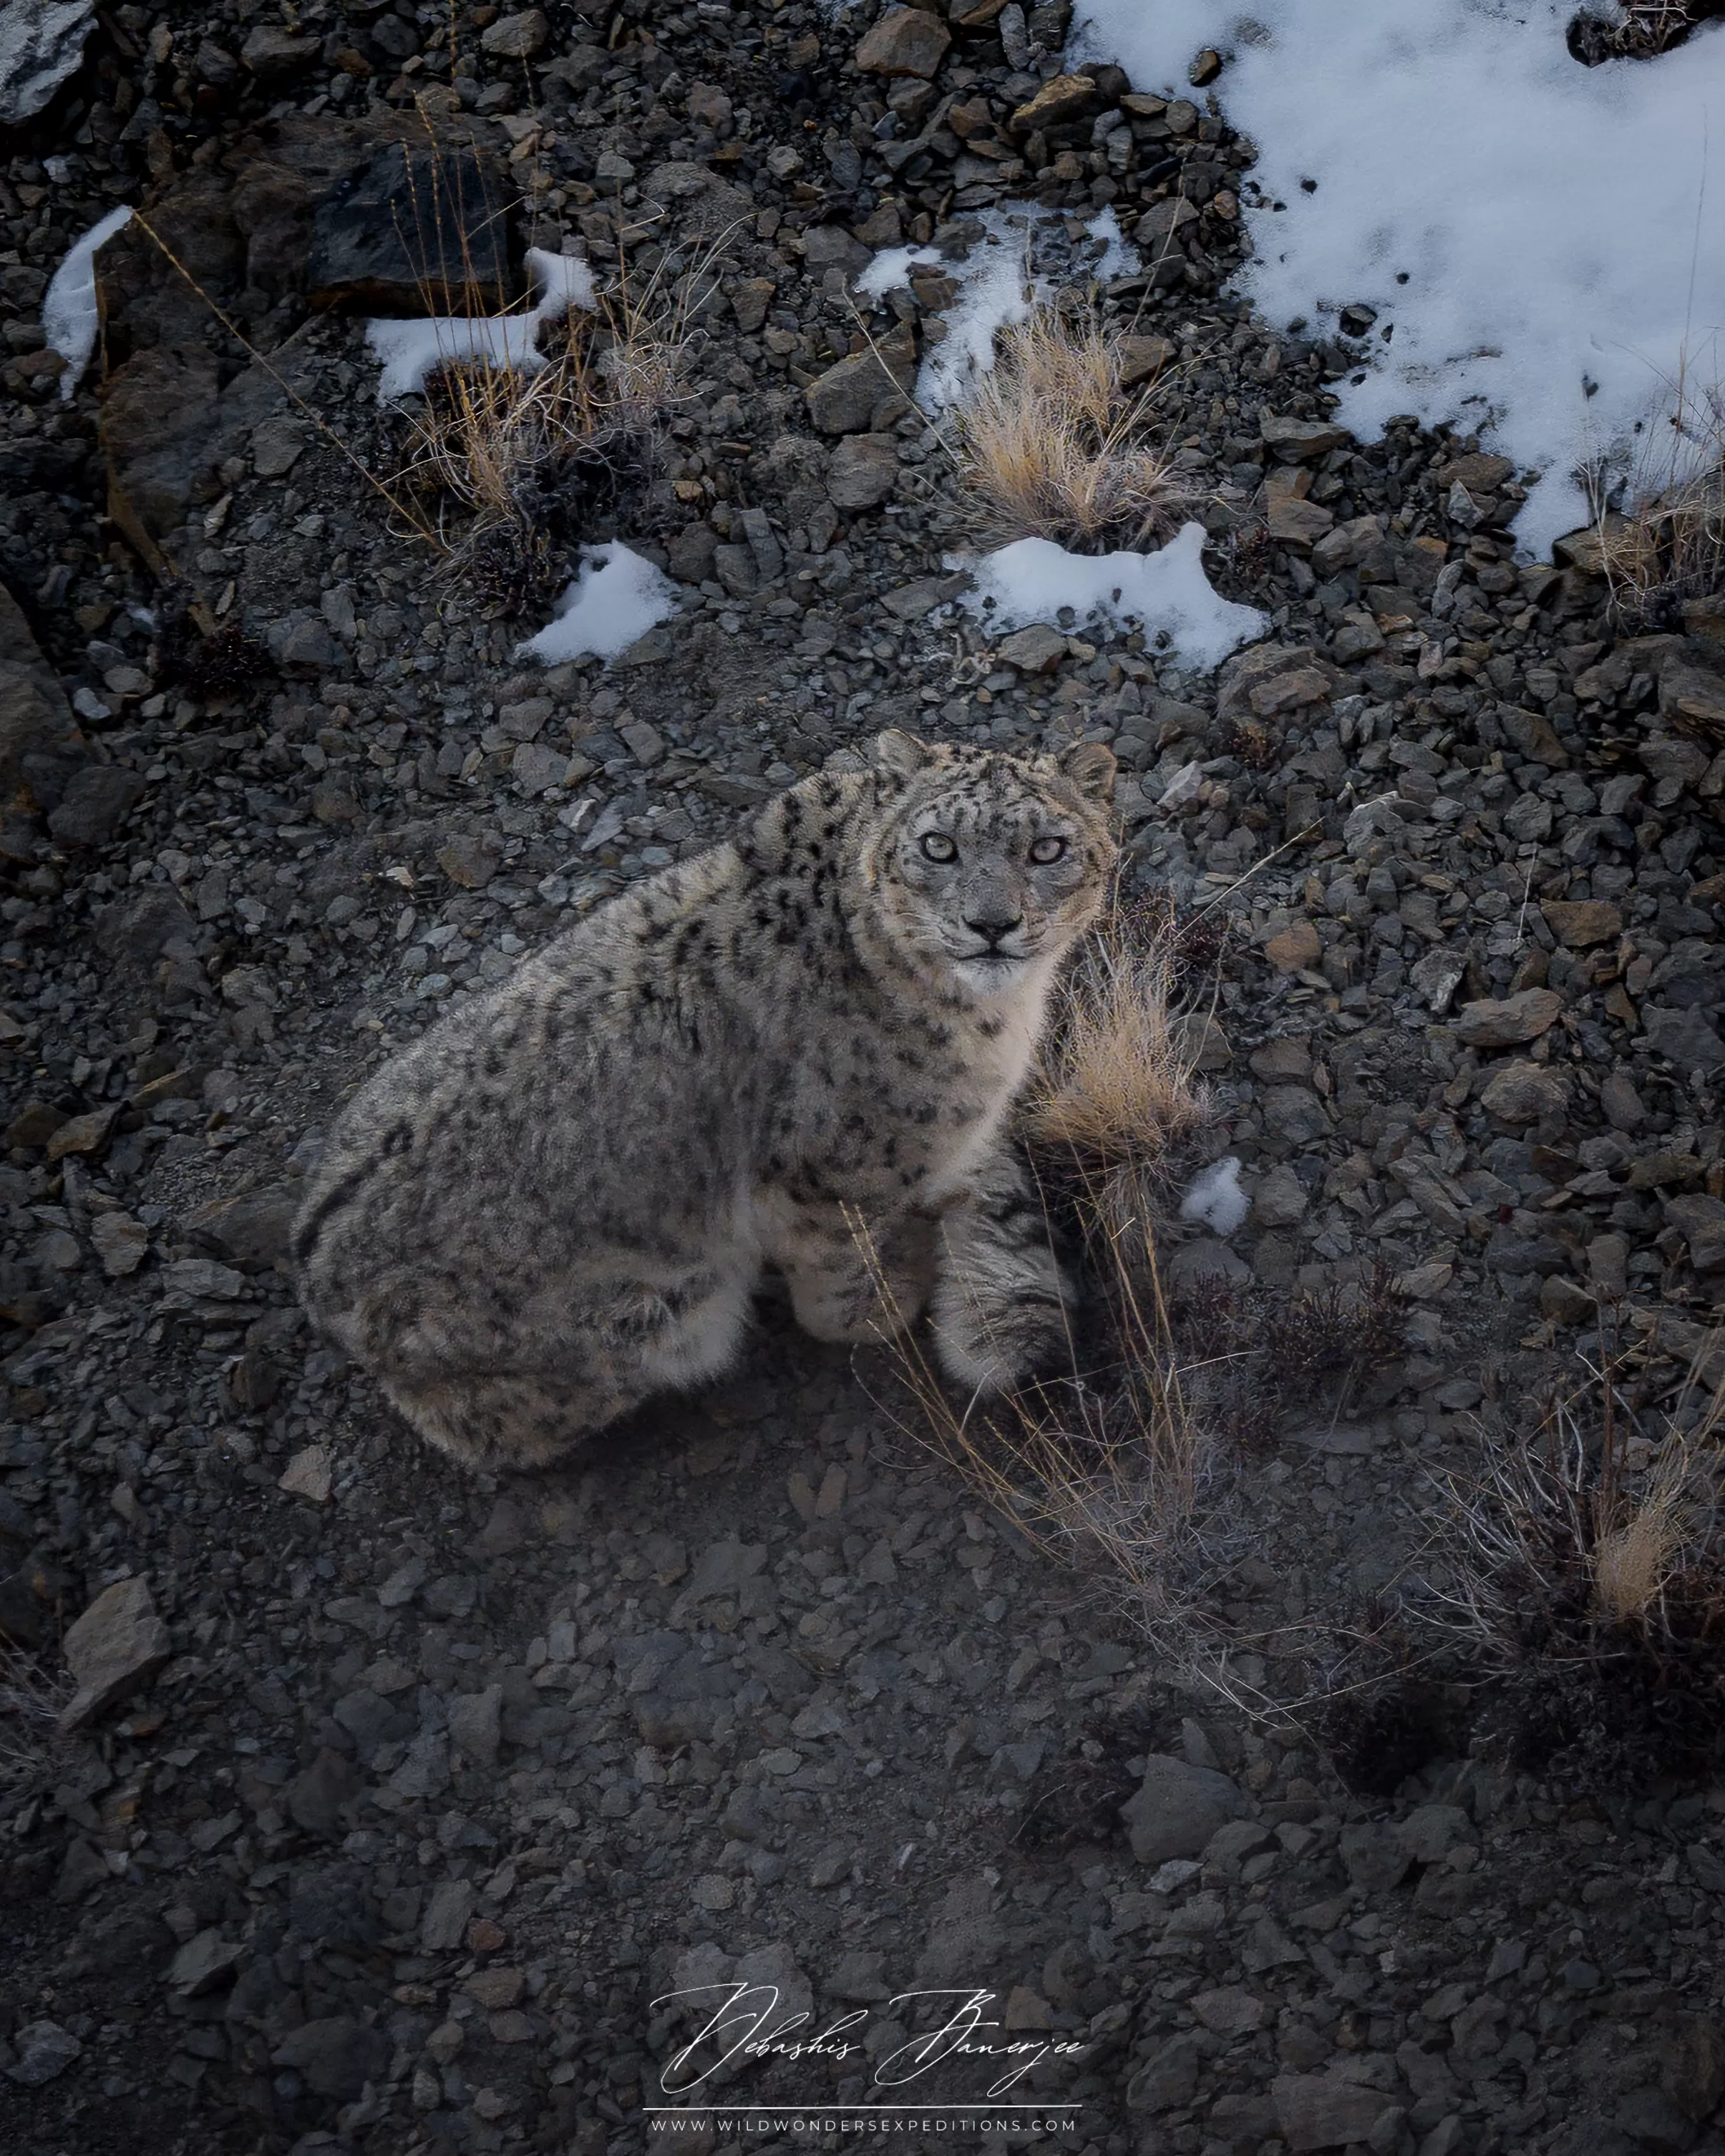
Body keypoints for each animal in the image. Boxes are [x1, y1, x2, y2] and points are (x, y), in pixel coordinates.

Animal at [293, 727, 1118, 1471]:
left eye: (1048, 848)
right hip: (653, 1315)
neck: (994, 1018)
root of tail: (316, 1277)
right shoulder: (827, 1176)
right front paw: (887, 1304)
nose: (992, 924)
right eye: (939, 845)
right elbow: (843, 1271)